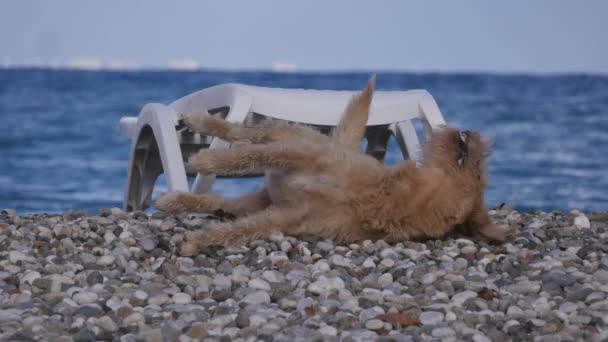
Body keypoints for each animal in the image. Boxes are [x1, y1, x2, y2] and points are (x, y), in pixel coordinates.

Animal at [157, 77, 512, 254]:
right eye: (480, 168)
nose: (470, 134)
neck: (385, 197)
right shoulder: (305, 155)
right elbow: (244, 156)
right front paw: (205, 159)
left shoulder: (285, 217)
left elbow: (237, 230)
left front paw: (197, 243)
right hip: (294, 137)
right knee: (246, 135)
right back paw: (200, 124)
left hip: (259, 198)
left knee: (217, 200)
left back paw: (176, 200)